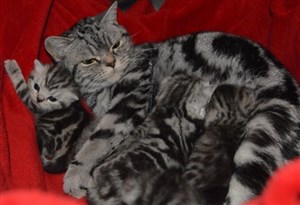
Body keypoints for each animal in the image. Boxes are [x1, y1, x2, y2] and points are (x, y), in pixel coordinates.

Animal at [44, 2, 300, 205]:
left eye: (115, 45)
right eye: (89, 60)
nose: (111, 62)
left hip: (261, 135)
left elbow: (99, 140)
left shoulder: (130, 100)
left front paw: (76, 173)